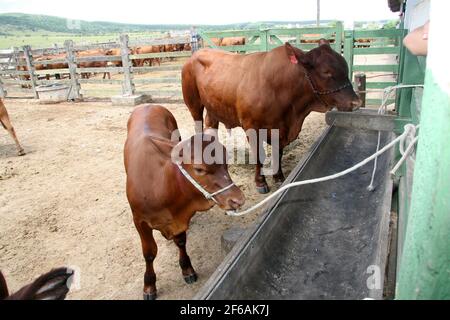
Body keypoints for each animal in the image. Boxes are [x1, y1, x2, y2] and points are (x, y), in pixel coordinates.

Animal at [124, 105, 246, 300]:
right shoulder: (139, 221)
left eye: (226, 163)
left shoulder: (179, 218)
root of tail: (149, 105)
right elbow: (149, 253)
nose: (237, 199)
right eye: (199, 169)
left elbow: (180, 241)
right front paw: (149, 285)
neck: (160, 184)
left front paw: (187, 268)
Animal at [181, 40, 360, 195]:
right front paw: (261, 182)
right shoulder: (251, 127)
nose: (356, 102)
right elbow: (259, 155)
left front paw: (278, 176)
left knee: (211, 125)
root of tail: (197, 54)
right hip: (194, 103)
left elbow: (277, 152)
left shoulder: (281, 129)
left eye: (345, 67)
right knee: (198, 125)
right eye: (327, 72)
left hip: (213, 106)